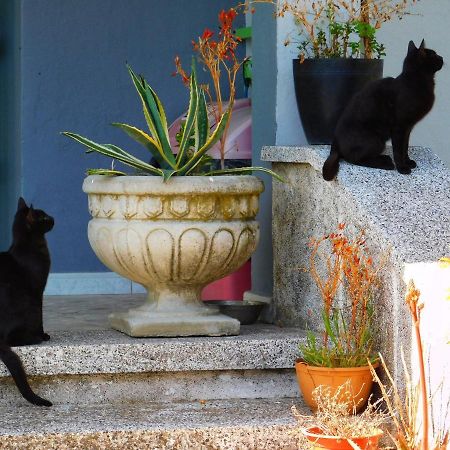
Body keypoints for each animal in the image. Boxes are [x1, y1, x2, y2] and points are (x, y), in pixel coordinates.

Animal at [0, 199, 53, 406]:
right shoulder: (39, 292)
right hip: (28, 307)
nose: (53, 218)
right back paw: (36, 337)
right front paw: (44, 334)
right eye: (44, 217)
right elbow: (42, 317)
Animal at [324, 38, 442, 179]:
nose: (442, 58)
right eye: (434, 55)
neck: (415, 82)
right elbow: (398, 150)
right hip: (376, 140)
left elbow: (405, 147)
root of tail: (334, 143)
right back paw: (386, 163)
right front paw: (402, 168)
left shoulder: (408, 128)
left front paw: (408, 161)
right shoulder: (399, 128)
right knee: (355, 159)